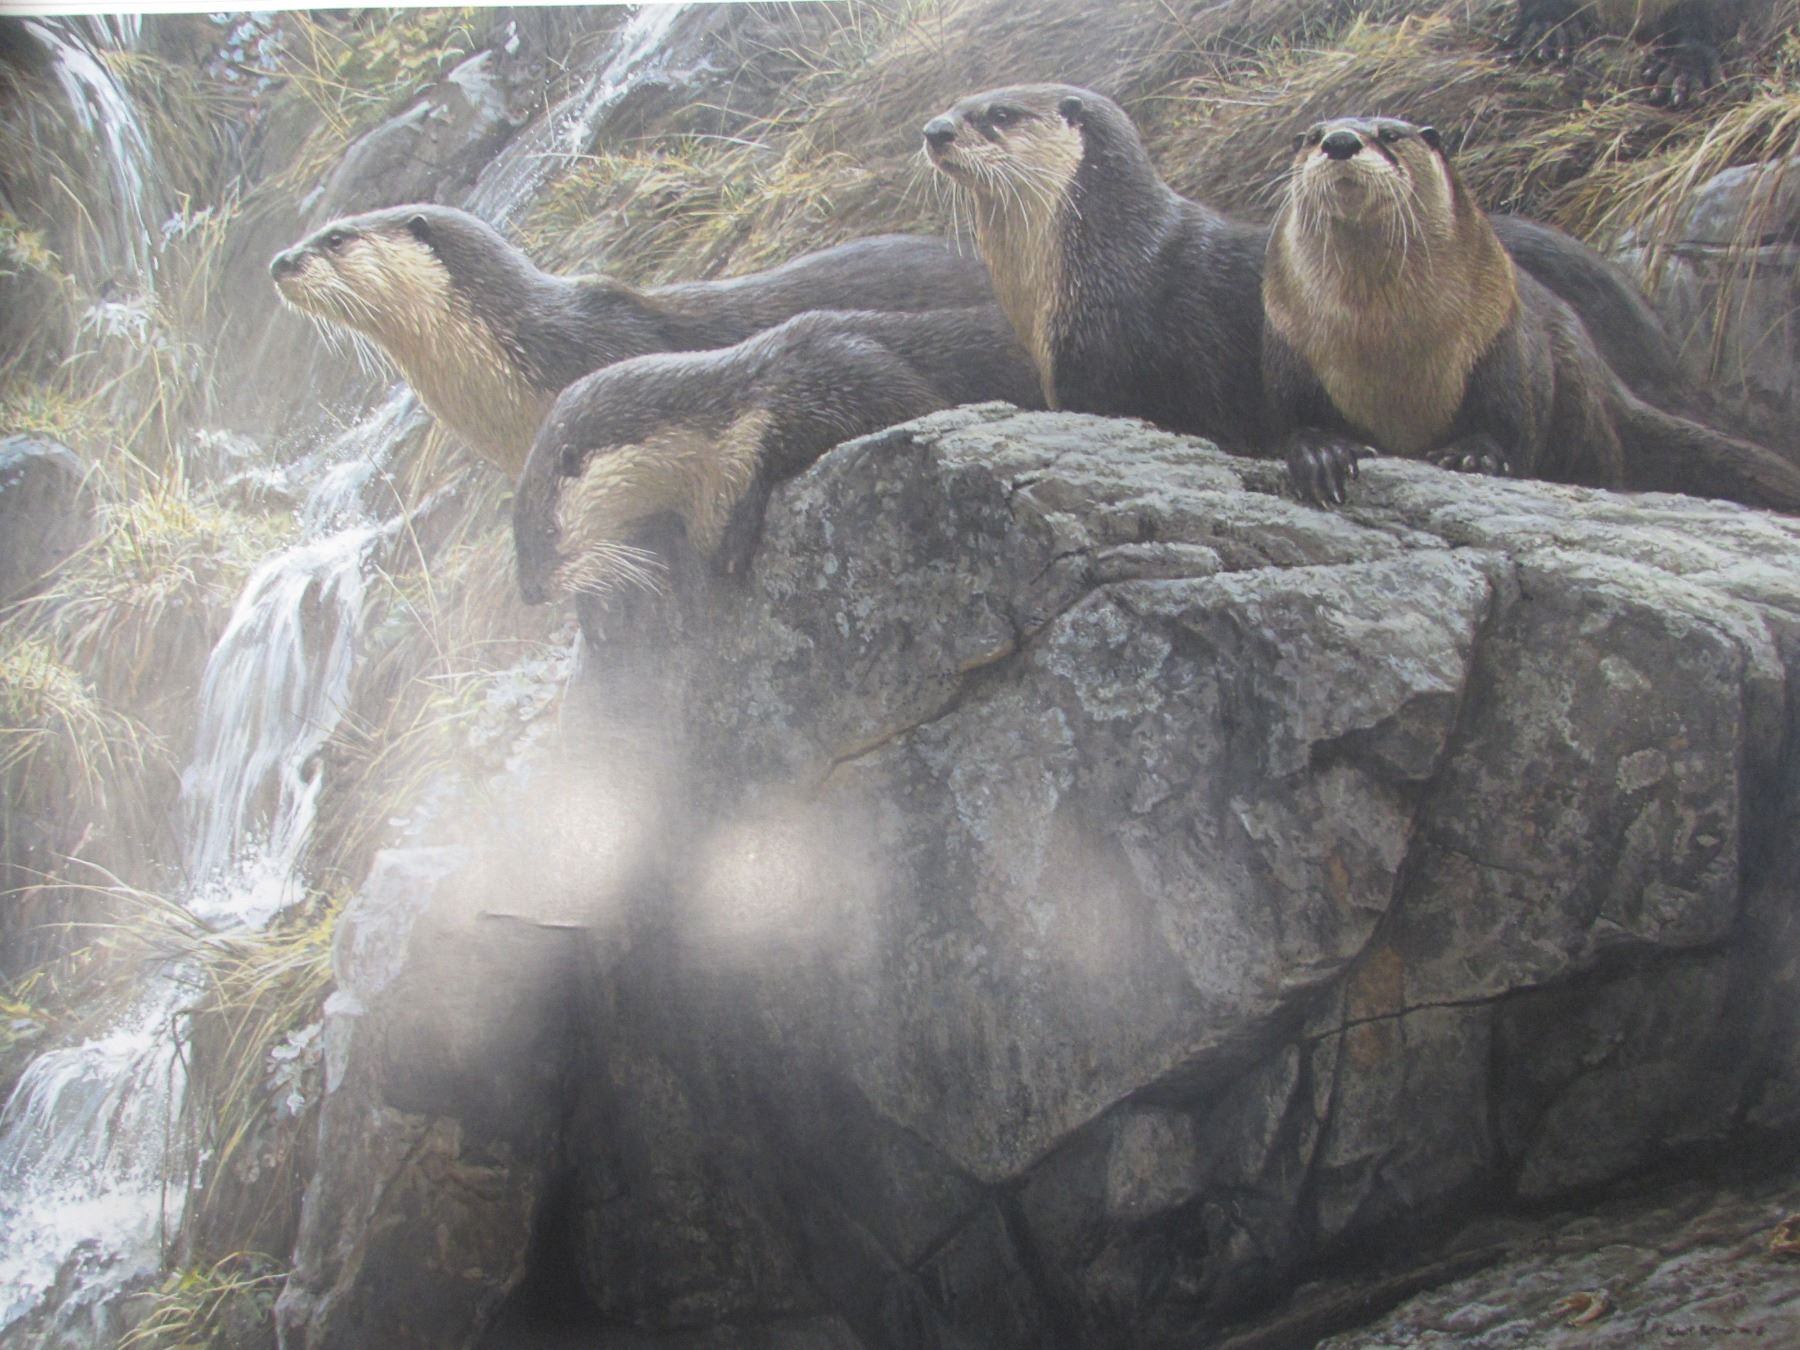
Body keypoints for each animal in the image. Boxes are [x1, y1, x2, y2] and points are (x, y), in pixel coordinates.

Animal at [1262, 115, 1800, 510]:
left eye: (1390, 135)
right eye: (1311, 136)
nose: (1340, 141)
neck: (1384, 344)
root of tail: (1608, 378)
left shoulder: (1502, 335)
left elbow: (1513, 417)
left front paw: (1475, 454)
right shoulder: (1288, 343)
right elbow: (1292, 414)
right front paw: (1322, 452)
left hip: (1578, 393)